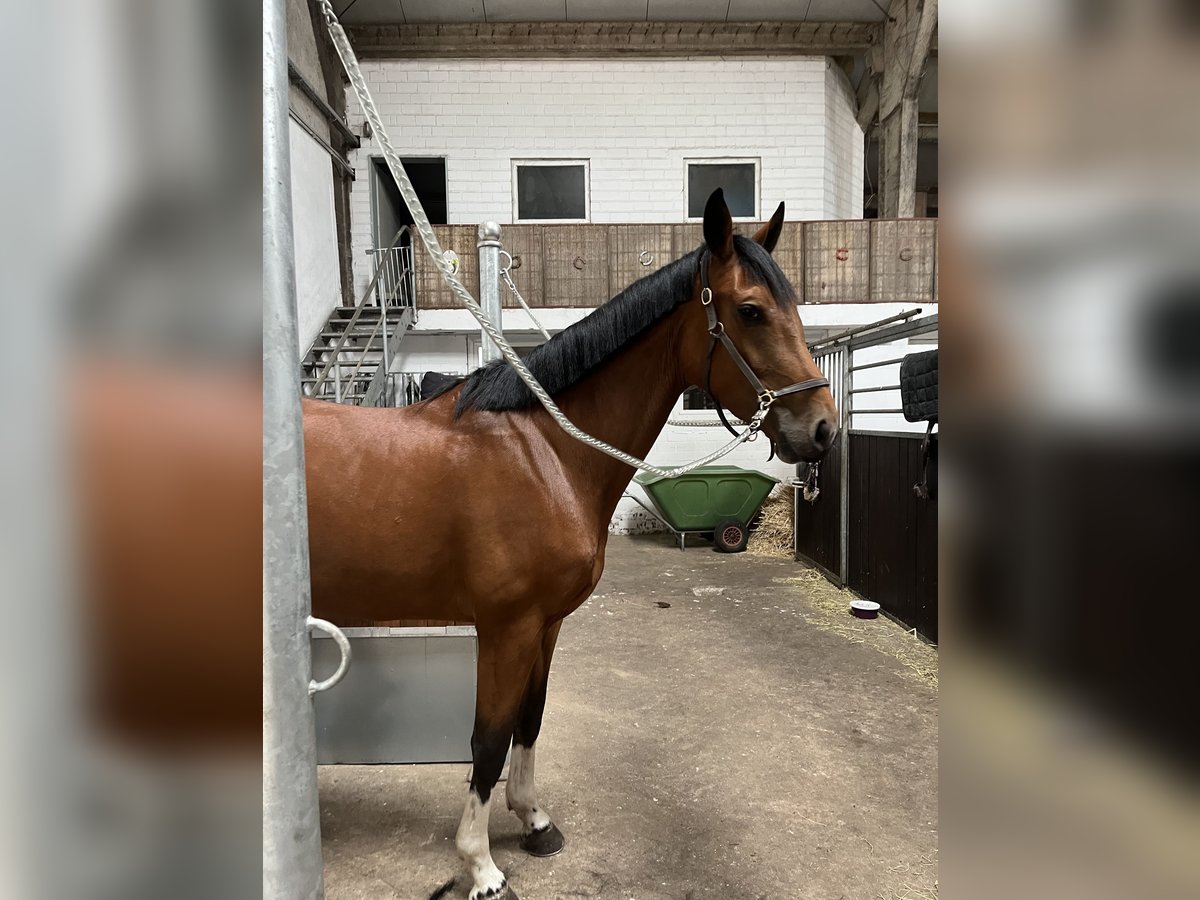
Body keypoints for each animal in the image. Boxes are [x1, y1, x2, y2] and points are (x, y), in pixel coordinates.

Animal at [303, 189, 839, 900]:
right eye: (751, 310)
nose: (823, 429)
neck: (544, 453)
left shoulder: (546, 624)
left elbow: (529, 721)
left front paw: (533, 822)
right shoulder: (506, 627)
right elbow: (488, 739)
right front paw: (481, 865)